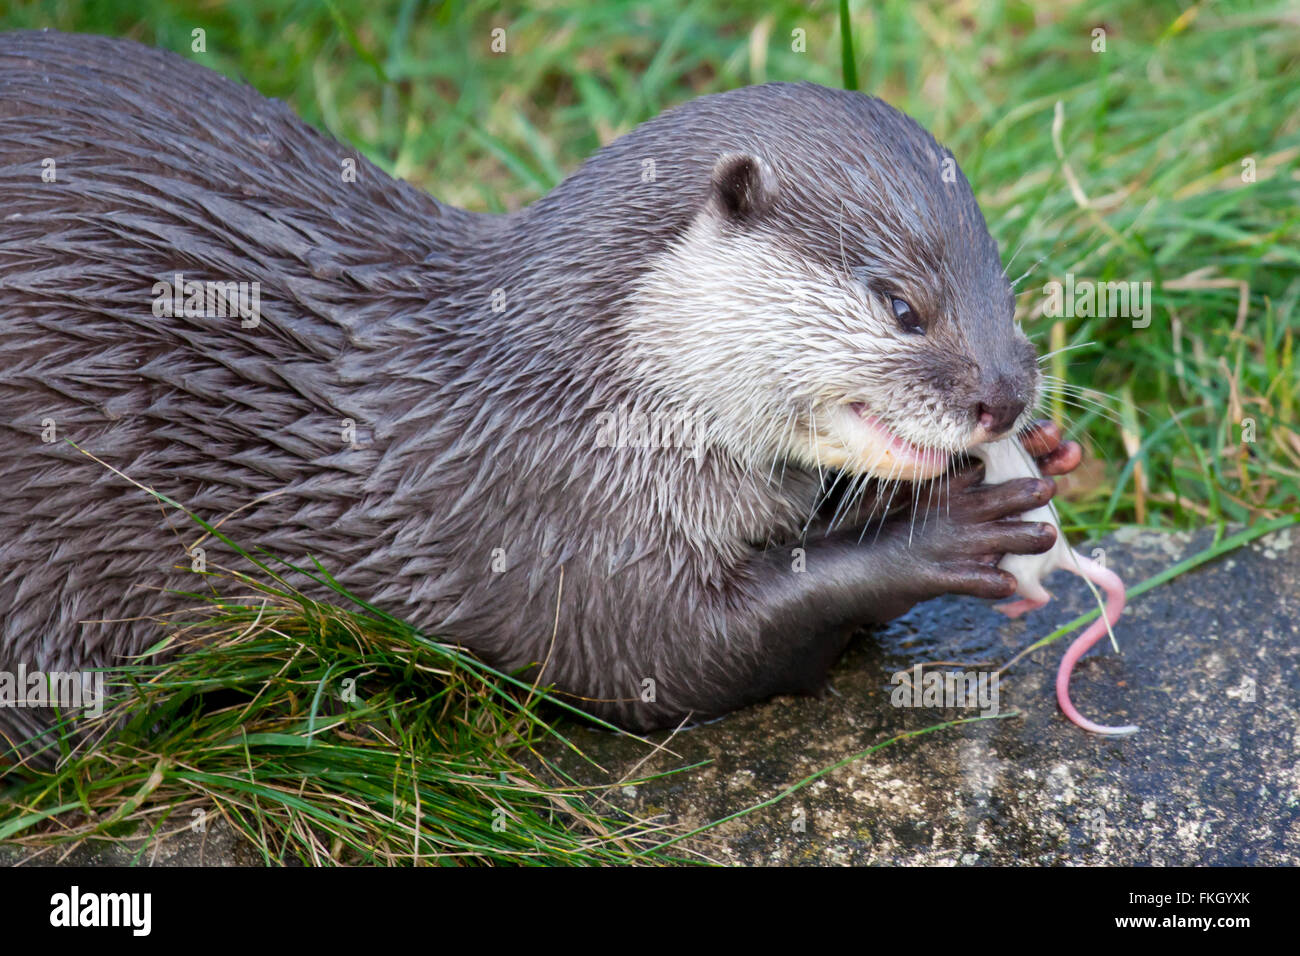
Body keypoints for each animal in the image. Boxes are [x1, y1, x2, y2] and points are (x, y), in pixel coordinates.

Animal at [0, 31, 1076, 754]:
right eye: (901, 305)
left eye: (1008, 289)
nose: (1007, 395)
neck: (556, 388)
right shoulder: (539, 510)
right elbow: (679, 651)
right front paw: (949, 530)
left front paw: (1048, 454)